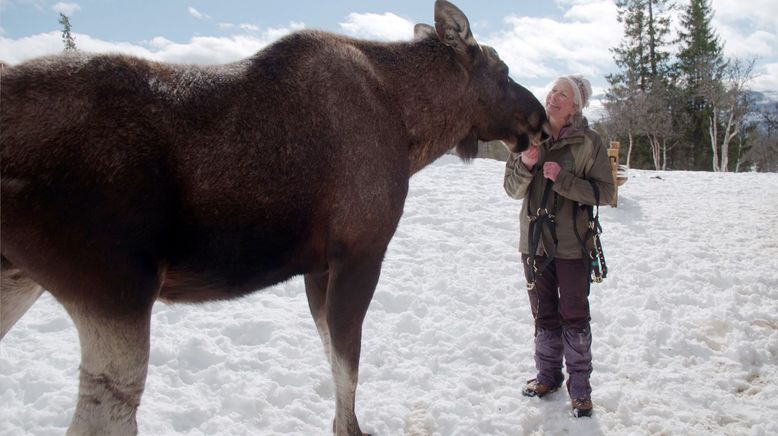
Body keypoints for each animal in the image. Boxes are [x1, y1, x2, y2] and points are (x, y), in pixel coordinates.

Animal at [1, 1, 544, 434]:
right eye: (503, 69)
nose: (540, 118)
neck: (414, 129)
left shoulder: (317, 267)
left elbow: (333, 361)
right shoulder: (361, 251)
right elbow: (349, 367)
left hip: (21, 279)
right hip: (116, 288)